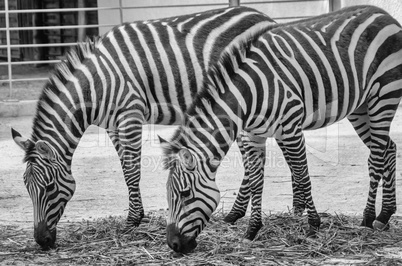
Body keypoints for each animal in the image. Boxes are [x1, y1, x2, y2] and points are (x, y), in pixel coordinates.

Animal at [10, 6, 276, 248]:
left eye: (49, 187)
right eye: (27, 187)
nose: (41, 241)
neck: (95, 85)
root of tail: (262, 16)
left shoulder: (130, 113)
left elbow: (132, 170)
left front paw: (132, 221)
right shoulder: (112, 125)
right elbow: (125, 169)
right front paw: (136, 217)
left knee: (253, 161)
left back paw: (239, 214)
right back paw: (234, 214)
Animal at [160, 5, 402, 252]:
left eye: (185, 194)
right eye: (168, 195)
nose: (173, 244)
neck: (248, 95)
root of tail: (383, 13)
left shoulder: (291, 128)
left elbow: (302, 174)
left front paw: (313, 224)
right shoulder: (252, 136)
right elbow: (256, 181)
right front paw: (252, 230)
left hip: (384, 95)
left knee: (376, 157)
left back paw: (368, 217)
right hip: (360, 107)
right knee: (389, 149)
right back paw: (384, 216)